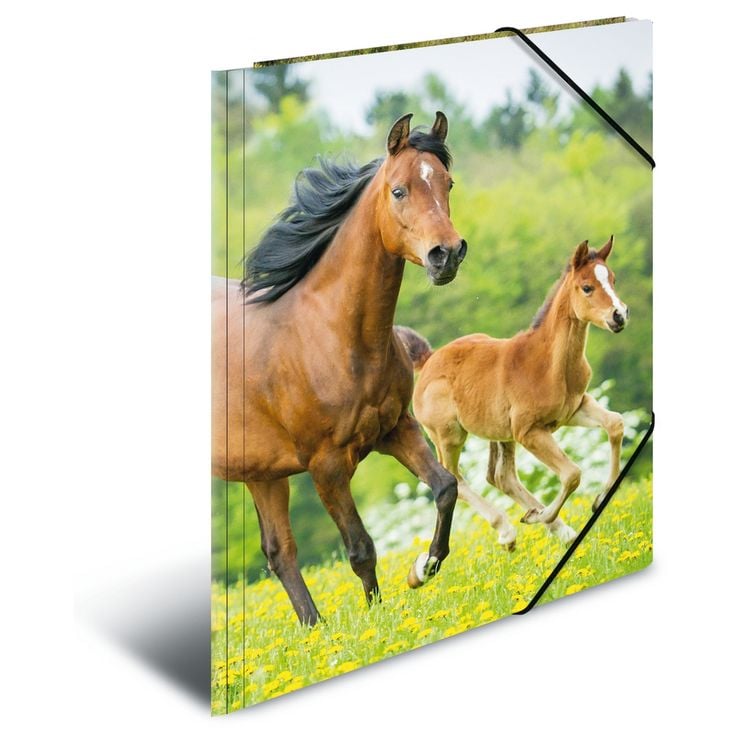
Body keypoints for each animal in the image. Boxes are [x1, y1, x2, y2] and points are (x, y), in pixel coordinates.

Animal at [212, 113, 468, 625]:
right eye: (399, 190)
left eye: (447, 182)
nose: (446, 254)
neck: (330, 335)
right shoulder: (326, 466)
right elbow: (360, 548)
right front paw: (377, 619)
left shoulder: (396, 429)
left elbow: (446, 487)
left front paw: (422, 568)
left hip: (261, 473)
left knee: (279, 552)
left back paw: (315, 630)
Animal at [404, 237, 628, 549]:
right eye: (587, 287)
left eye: (613, 279)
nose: (619, 316)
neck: (548, 363)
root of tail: (428, 360)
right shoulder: (528, 431)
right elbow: (572, 474)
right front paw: (542, 515)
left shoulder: (575, 408)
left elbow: (615, 424)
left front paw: (598, 499)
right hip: (449, 436)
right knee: (455, 479)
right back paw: (509, 530)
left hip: (499, 432)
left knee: (500, 477)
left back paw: (559, 529)